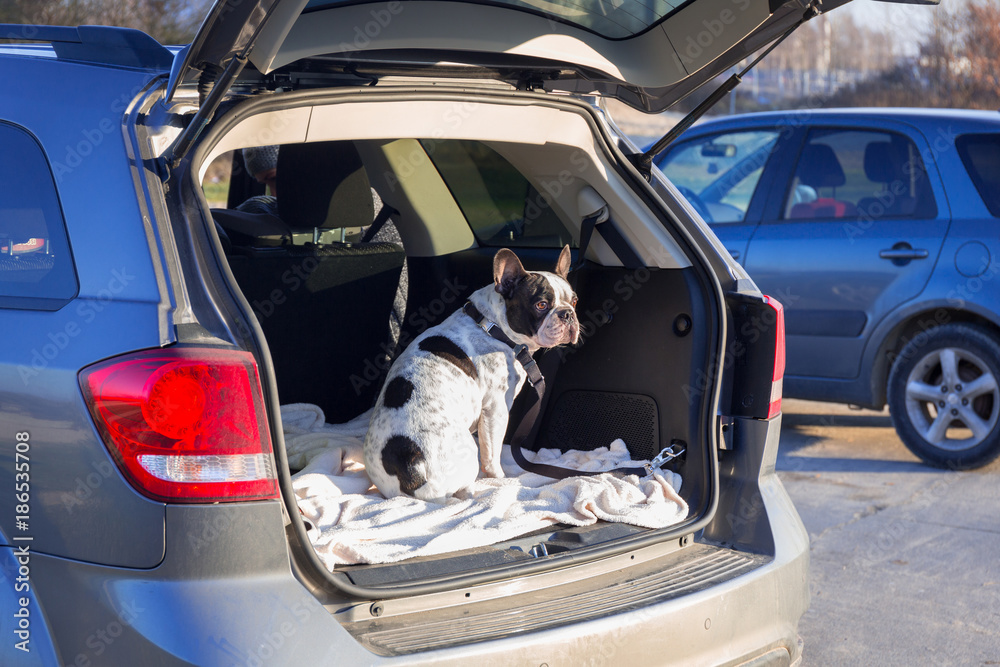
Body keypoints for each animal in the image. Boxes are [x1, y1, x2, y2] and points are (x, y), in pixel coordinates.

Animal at [362, 248, 580, 504]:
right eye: (542, 305)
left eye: (574, 301)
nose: (568, 314)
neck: (491, 325)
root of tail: (411, 470)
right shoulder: (496, 409)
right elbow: (492, 453)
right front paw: (499, 477)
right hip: (467, 450)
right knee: (465, 486)